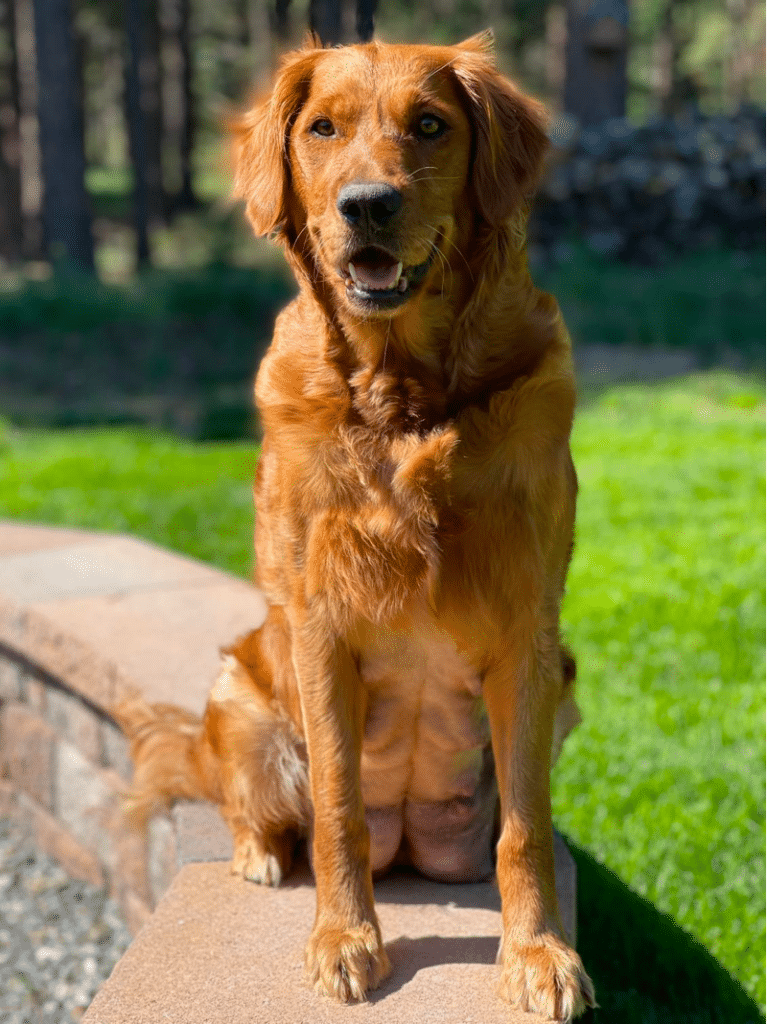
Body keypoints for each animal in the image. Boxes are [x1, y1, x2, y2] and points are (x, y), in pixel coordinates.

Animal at [116, 29, 598, 1015]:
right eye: (323, 128)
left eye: (430, 125)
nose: (367, 204)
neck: (401, 397)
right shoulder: (321, 627)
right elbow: (337, 810)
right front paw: (345, 937)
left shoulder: (529, 632)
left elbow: (526, 827)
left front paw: (536, 951)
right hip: (239, 690)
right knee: (250, 801)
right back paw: (260, 852)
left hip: (563, 680)